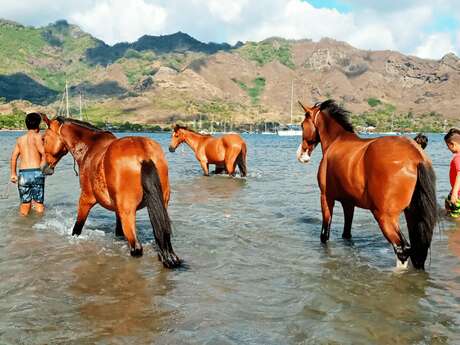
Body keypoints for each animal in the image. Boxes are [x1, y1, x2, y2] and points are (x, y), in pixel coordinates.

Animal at [41, 114, 181, 268]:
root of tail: (143, 154)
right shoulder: (117, 210)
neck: (89, 147)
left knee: (136, 248)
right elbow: (118, 232)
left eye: (44, 139)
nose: (44, 168)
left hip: (128, 213)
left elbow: (77, 228)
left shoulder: (85, 199)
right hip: (161, 207)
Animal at [296, 99, 436, 268]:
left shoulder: (326, 197)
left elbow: (325, 233)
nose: (301, 154)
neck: (337, 140)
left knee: (402, 249)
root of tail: (415, 156)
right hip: (412, 215)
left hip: (385, 217)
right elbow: (347, 234)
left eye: (302, 125)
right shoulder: (348, 203)